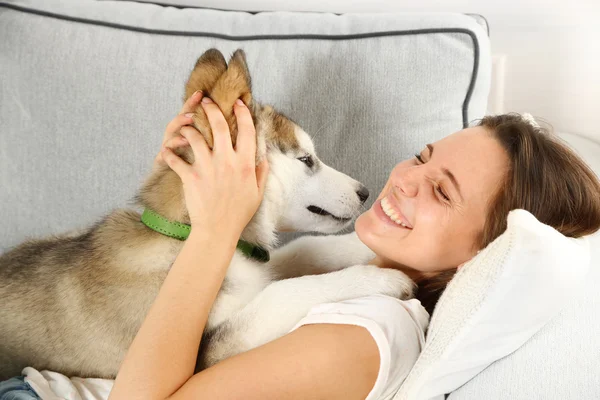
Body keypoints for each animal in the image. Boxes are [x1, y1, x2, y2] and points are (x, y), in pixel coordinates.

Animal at [0, 48, 412, 380]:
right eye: (306, 159)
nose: (365, 193)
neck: (184, 235)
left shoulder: (254, 263)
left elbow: (305, 249)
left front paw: (367, 242)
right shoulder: (209, 349)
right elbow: (284, 291)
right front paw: (380, 278)